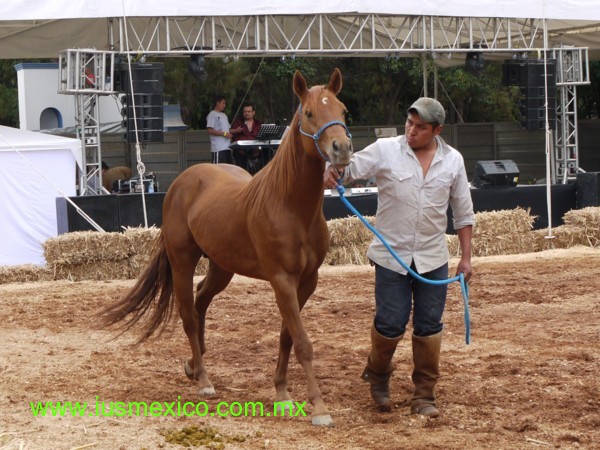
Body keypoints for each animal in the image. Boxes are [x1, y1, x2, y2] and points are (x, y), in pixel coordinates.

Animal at [102, 68, 354, 428]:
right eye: (308, 113)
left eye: (342, 110)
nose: (341, 149)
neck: (290, 206)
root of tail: (183, 181)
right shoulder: (282, 280)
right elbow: (302, 342)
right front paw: (318, 407)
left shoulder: (307, 281)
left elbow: (287, 336)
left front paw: (282, 394)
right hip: (183, 262)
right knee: (188, 315)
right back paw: (204, 380)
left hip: (222, 267)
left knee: (200, 301)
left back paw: (194, 366)